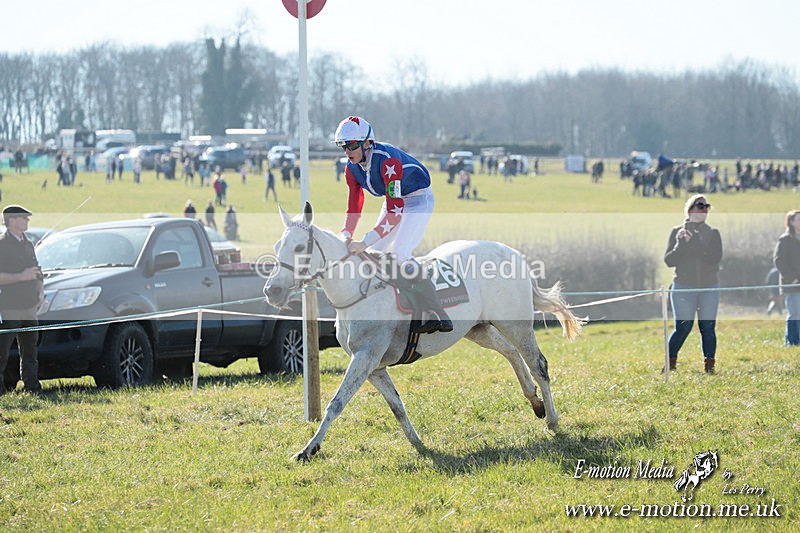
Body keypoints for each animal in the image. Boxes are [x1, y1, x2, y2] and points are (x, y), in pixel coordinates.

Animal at [264, 203, 583, 461]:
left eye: (300, 248)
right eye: (278, 246)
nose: (272, 291)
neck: (357, 289)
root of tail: (513, 252)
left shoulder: (365, 357)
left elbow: (336, 403)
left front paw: (308, 449)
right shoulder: (374, 366)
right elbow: (396, 406)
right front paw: (419, 444)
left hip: (515, 324)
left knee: (538, 364)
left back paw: (552, 419)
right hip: (478, 328)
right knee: (511, 352)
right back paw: (534, 401)